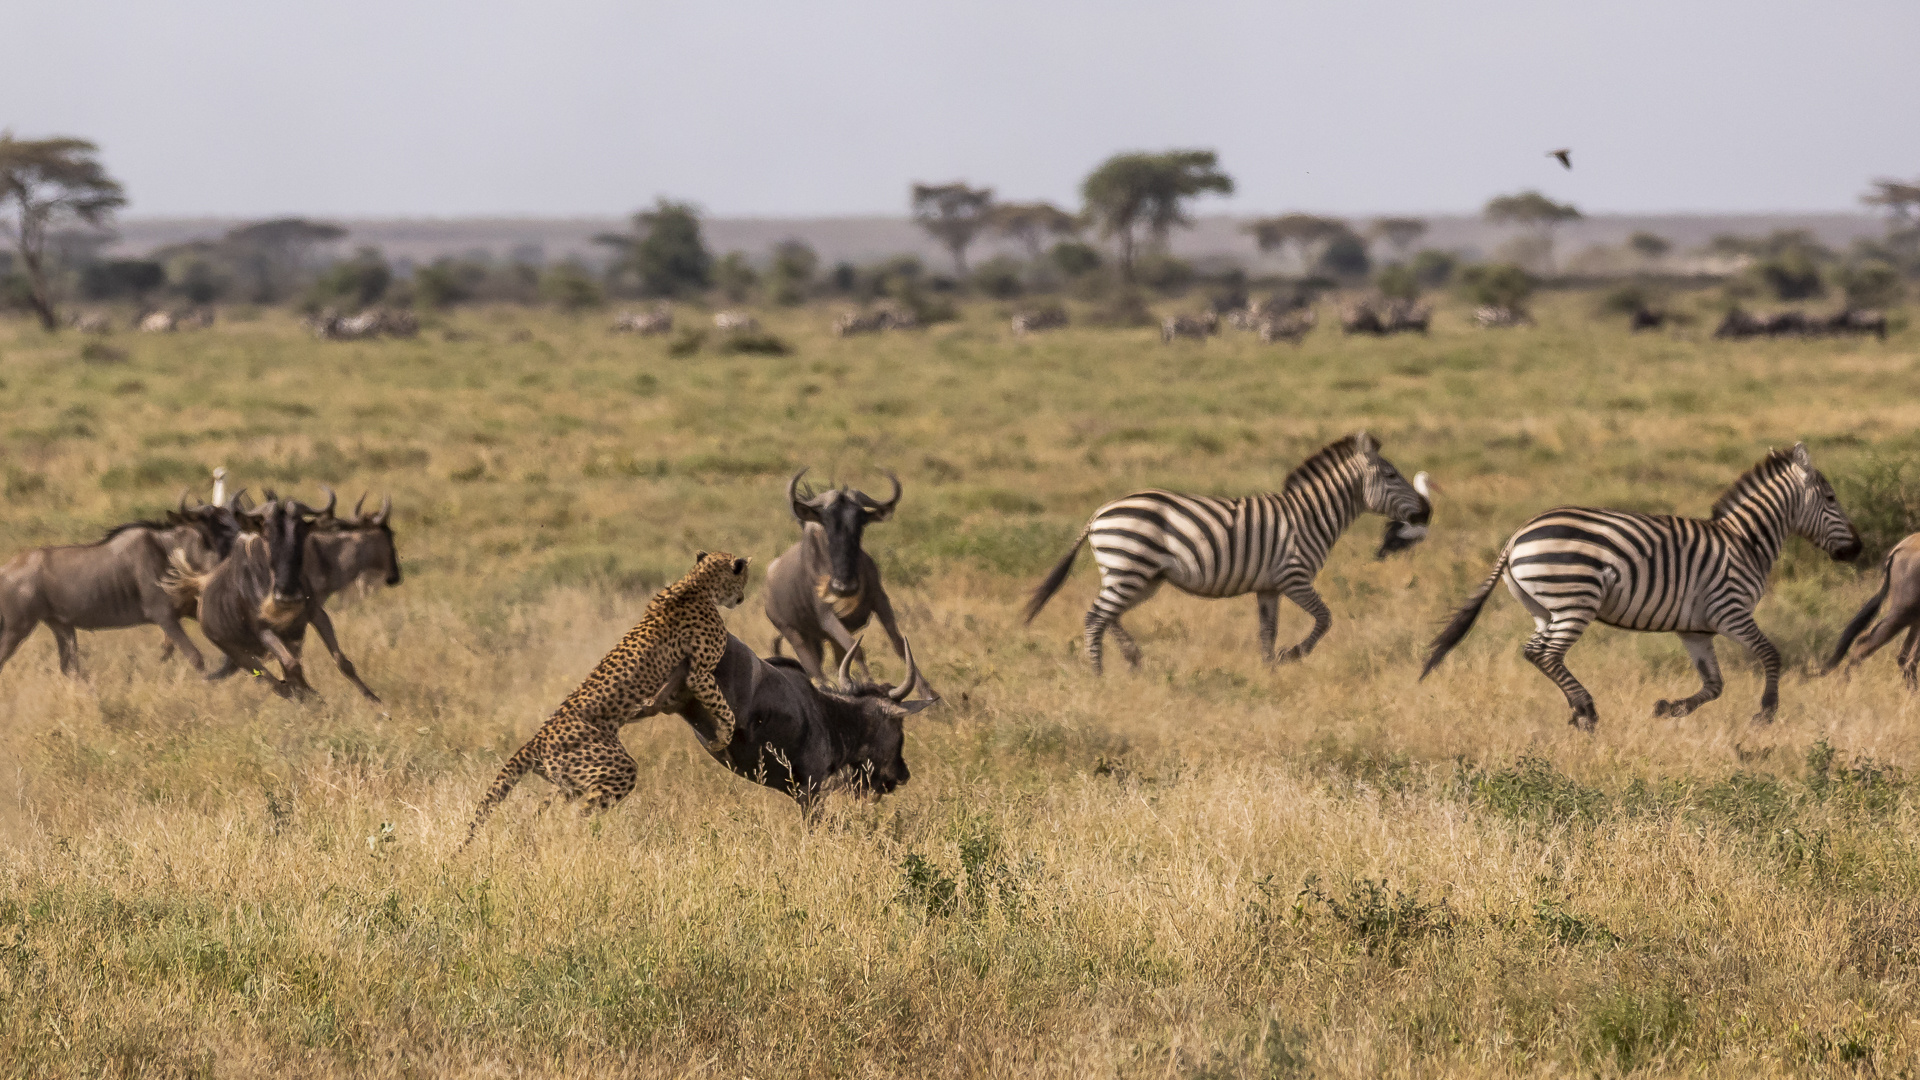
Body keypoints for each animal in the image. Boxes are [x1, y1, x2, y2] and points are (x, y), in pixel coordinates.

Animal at [464, 545, 748, 841]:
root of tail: (537, 738)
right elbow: (724, 709)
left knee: (545, 809)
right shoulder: (699, 673)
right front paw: (723, 738)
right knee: (578, 813)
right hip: (615, 768)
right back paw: (580, 835)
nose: (741, 598)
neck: (697, 582)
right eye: (744, 577)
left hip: (572, 778)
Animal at [1029, 430, 1436, 668]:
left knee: (1107, 616)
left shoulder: (1268, 586)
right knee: (1095, 618)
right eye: (1390, 475)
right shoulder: (1293, 577)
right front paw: (1293, 655)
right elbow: (1325, 619)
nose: (1427, 511)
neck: (1310, 516)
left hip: (1138, 576)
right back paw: (1097, 675)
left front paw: (1269, 671)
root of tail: (1099, 512)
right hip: (1130, 567)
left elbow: (1267, 632)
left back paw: (1132, 659)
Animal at [1428, 441, 1858, 726]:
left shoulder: (1695, 629)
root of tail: (1516, 536)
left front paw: (1669, 709)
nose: (1856, 549)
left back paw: (1576, 710)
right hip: (1575, 599)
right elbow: (1771, 654)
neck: (1745, 541)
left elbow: (1715, 684)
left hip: (1545, 609)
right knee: (1548, 655)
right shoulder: (1730, 611)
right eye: (1831, 498)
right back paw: (1587, 710)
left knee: (1535, 652)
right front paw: (1766, 712)